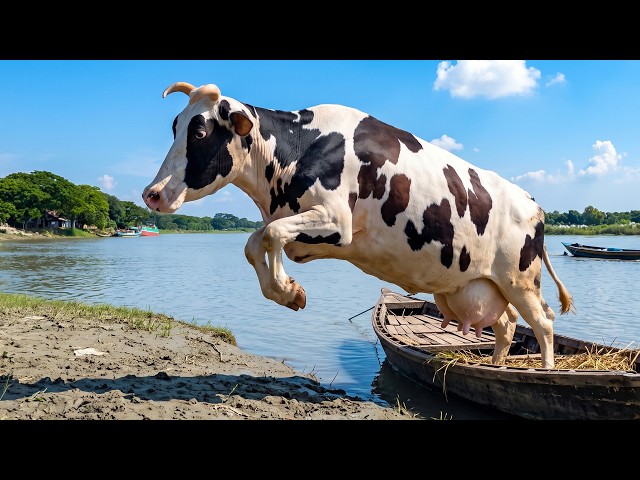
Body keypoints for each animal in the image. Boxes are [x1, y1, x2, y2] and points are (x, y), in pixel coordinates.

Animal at [142, 81, 574, 369]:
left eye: (199, 131)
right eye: (175, 127)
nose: (152, 193)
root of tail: (534, 205)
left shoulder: (337, 222)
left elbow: (270, 235)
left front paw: (288, 290)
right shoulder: (303, 227)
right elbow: (255, 242)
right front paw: (289, 292)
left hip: (521, 279)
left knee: (543, 323)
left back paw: (545, 372)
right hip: (480, 284)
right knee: (506, 325)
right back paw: (497, 365)